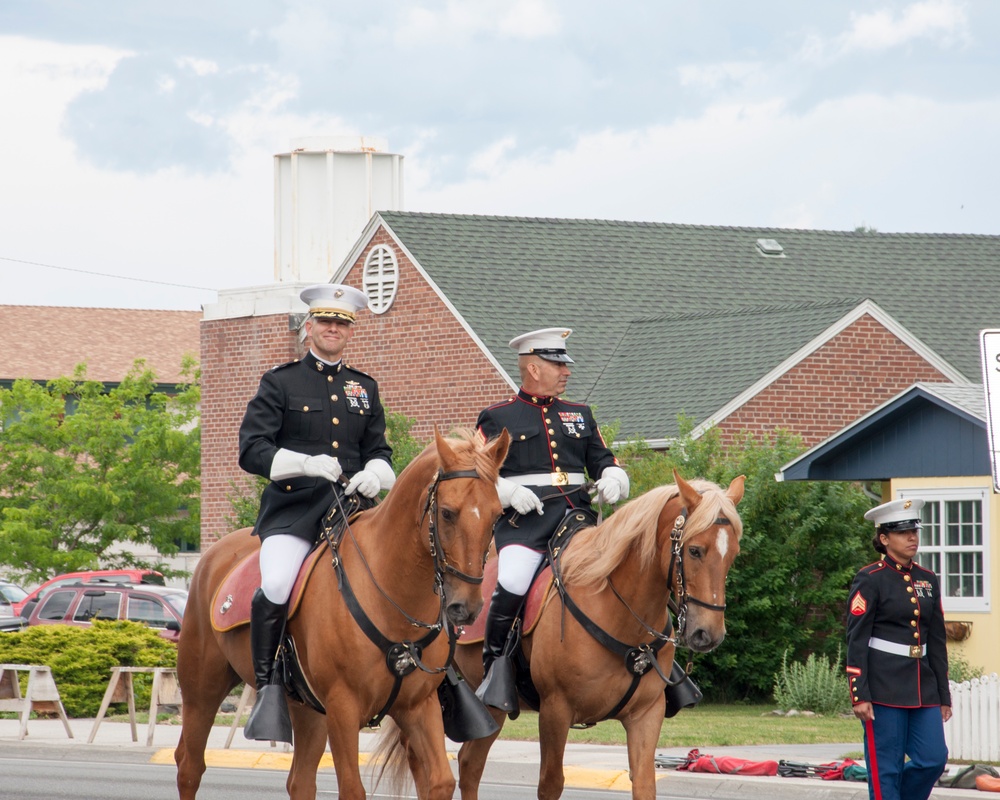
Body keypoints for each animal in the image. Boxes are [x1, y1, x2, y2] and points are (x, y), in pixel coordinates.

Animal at [173, 432, 512, 800]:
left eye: (497, 516)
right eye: (448, 514)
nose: (467, 607)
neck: (391, 593)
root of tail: (213, 555)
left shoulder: (418, 706)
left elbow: (440, 782)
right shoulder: (343, 708)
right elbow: (352, 788)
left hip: (307, 709)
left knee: (300, 781)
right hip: (202, 690)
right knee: (190, 766)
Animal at [454, 468, 744, 800]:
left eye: (733, 553)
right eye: (695, 551)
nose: (708, 633)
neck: (619, 611)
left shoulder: (647, 714)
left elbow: (644, 783)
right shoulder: (555, 711)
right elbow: (550, 784)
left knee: (469, 763)